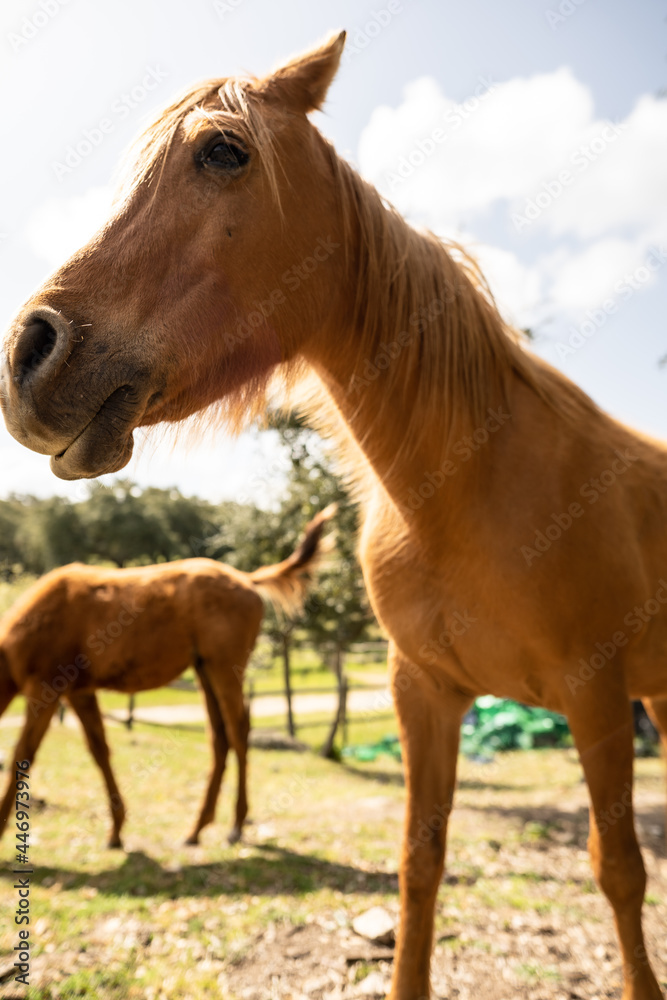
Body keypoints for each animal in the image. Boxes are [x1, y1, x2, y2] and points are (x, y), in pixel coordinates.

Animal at [0, 506, 334, 849]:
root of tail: (246, 578)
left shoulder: (46, 689)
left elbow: (23, 754)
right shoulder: (80, 691)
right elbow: (100, 750)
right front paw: (116, 831)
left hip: (225, 667)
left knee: (239, 731)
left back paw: (236, 826)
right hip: (204, 669)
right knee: (219, 736)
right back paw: (198, 828)